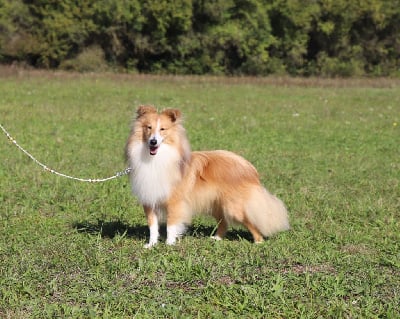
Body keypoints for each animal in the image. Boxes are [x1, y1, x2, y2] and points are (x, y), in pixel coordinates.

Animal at [124, 106, 288, 249]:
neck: (156, 159)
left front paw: (169, 244)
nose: (153, 142)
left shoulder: (175, 202)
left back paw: (258, 242)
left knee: (250, 221)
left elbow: (171, 225)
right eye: (148, 127)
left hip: (234, 206)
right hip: (216, 203)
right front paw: (151, 245)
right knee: (223, 222)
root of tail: (249, 167)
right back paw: (217, 238)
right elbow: (152, 226)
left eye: (163, 129)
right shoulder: (149, 201)